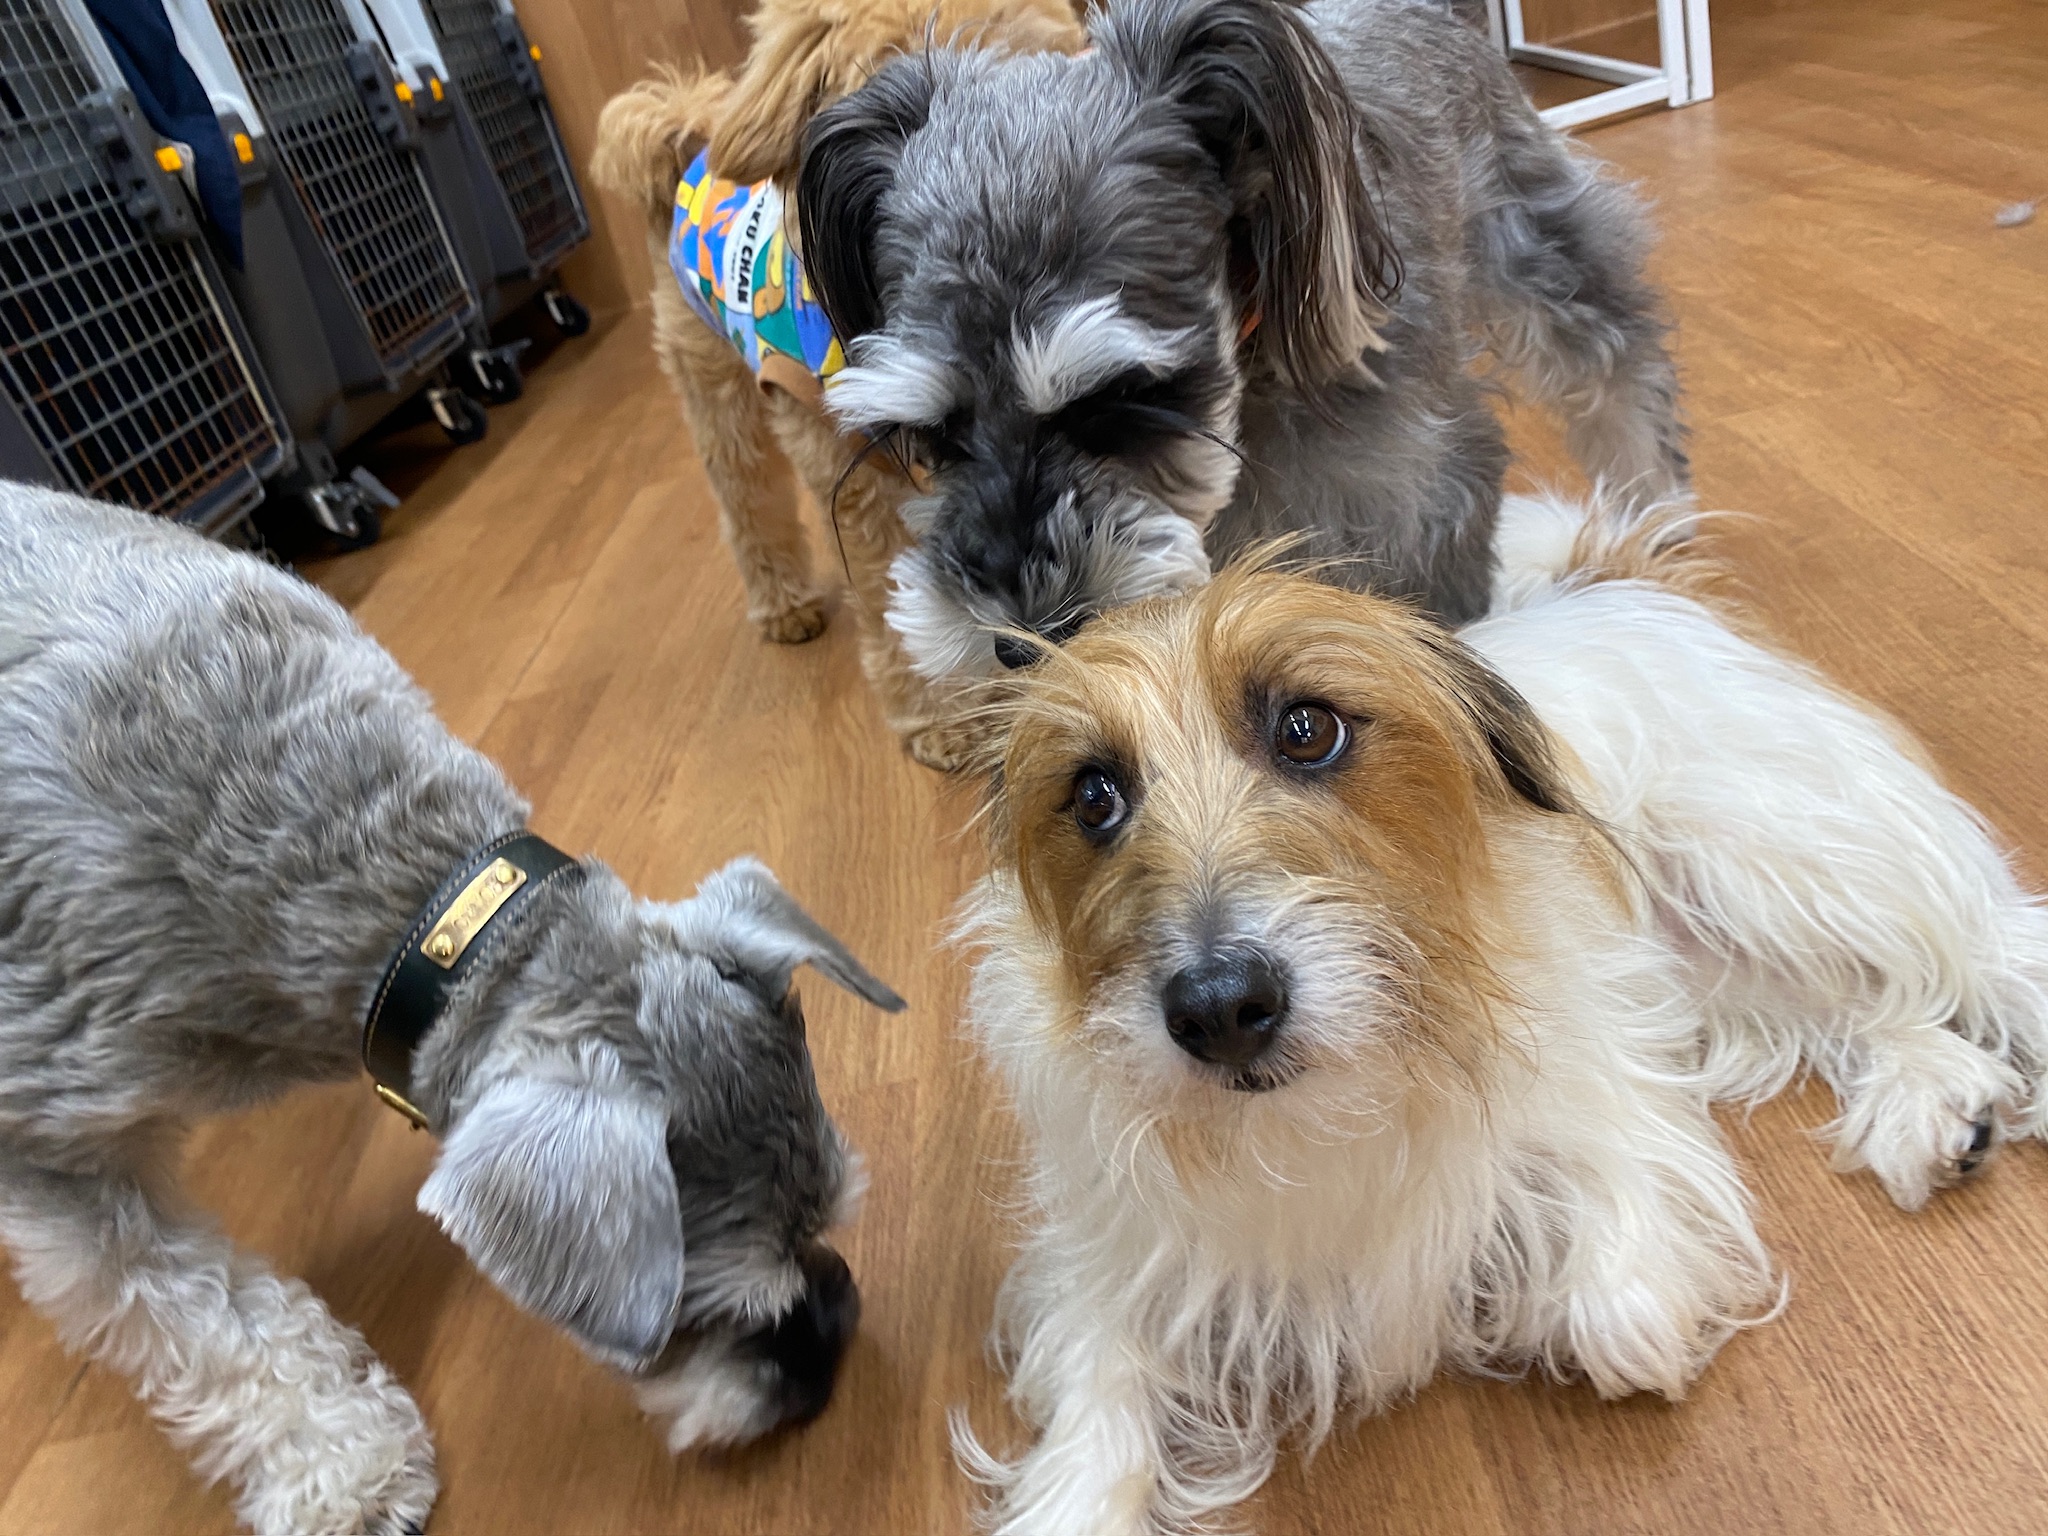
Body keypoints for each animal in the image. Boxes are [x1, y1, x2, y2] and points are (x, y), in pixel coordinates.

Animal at [0, 486, 904, 1534]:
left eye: (830, 1217)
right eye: (707, 1306)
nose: (835, 1333)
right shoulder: (57, 1158)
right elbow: (204, 1320)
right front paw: (347, 1470)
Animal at [589, 0, 1087, 771]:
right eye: (887, 76)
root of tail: (692, 143)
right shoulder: (855, 487)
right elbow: (891, 597)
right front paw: (945, 715)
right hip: (713, 385)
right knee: (747, 503)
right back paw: (784, 605)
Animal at [796, 0, 1690, 691]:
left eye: (1126, 399)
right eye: (935, 434)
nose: (1019, 648)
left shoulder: (1426, 502)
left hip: (1544, 249)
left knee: (1623, 376)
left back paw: (1651, 530)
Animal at [952, 495, 2048, 1535]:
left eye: (1307, 729)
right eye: (1094, 796)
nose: (1219, 1008)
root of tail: (1612, 582)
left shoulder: (1610, 1074)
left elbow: (1621, 1301)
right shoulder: (1112, 1249)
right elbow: (1099, 1392)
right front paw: (1073, 1500)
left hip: (1784, 861)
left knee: (1984, 950)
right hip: (1724, 948)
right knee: (1857, 1001)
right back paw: (1937, 1099)